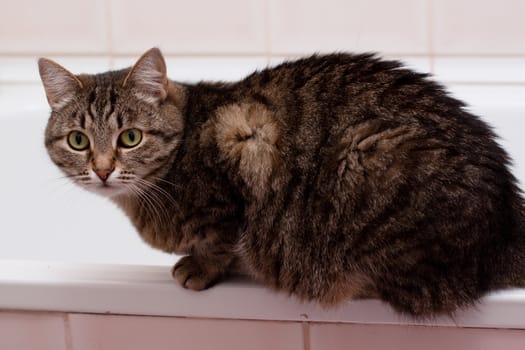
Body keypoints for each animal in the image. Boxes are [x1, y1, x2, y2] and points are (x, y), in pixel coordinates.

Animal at [37, 47, 524, 318]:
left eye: (130, 137)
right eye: (78, 141)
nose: (102, 170)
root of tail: (507, 229)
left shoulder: (242, 136)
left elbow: (220, 239)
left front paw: (202, 267)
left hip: (370, 160)